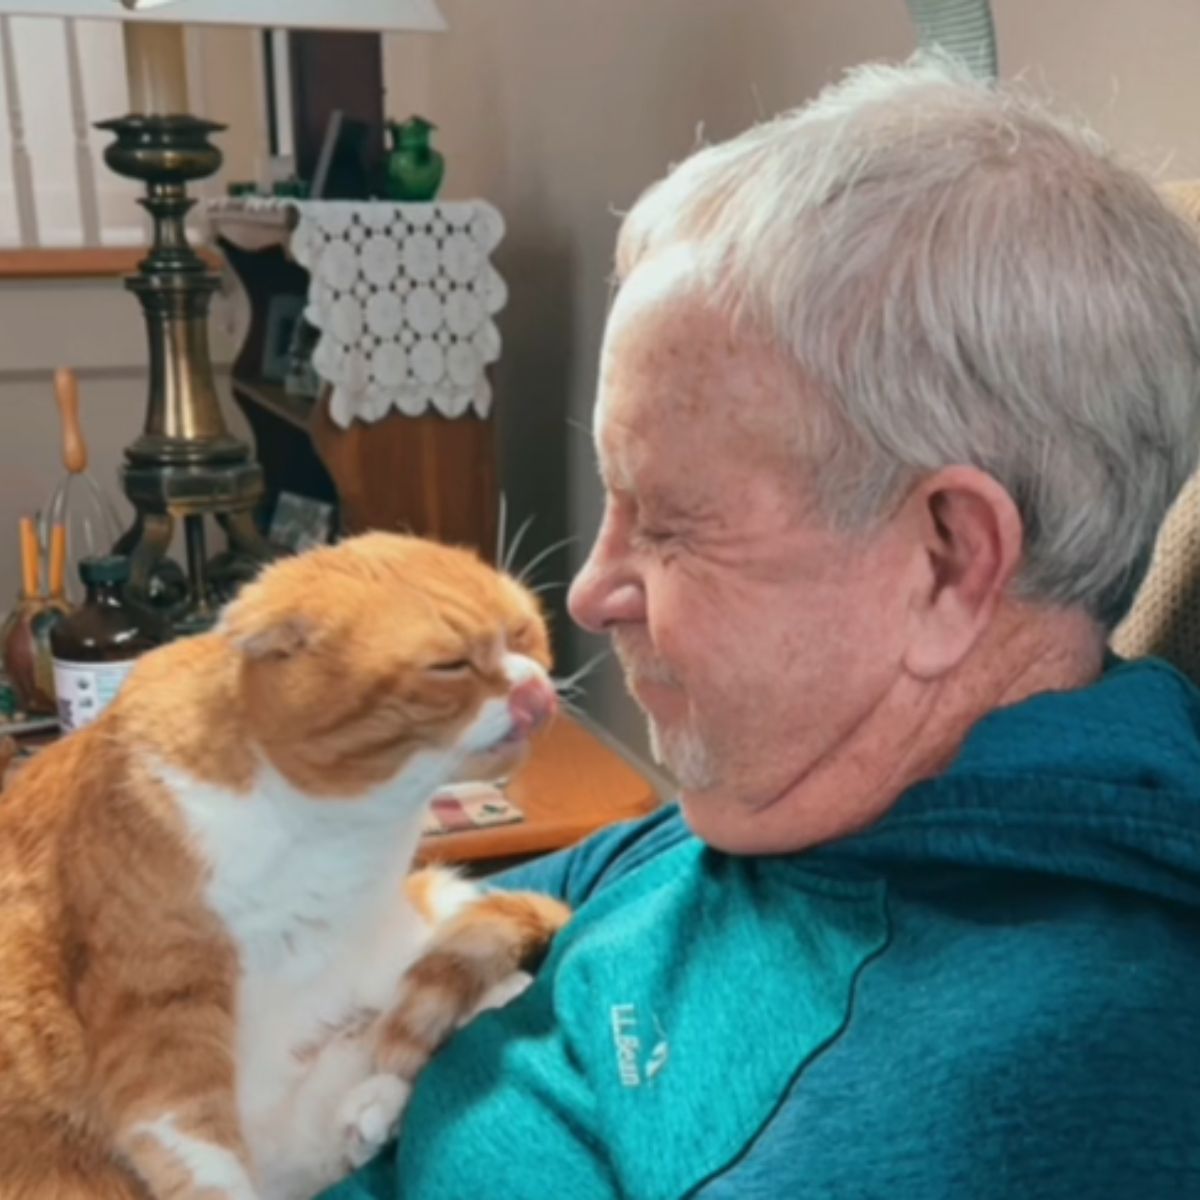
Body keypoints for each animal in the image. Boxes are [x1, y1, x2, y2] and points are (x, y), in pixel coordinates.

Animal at [0, 537, 568, 1200]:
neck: (330, 835)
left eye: (523, 633)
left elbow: (443, 993)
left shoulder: (395, 941)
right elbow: (197, 1153)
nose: (535, 692)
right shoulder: (158, 1013)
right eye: (450, 665)